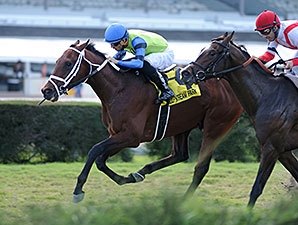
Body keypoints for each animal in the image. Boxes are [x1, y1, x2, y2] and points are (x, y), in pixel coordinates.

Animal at [41, 39, 242, 203]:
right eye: (57, 62)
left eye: (68, 63)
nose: (46, 91)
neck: (119, 89)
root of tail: (230, 83)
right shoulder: (118, 135)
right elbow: (100, 160)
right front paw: (127, 178)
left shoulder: (132, 136)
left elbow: (94, 150)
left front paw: (78, 190)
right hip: (181, 125)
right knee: (180, 154)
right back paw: (141, 172)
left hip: (215, 126)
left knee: (201, 167)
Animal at [180, 32, 298, 207]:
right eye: (202, 49)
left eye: (212, 52)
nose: (185, 73)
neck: (269, 96)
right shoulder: (282, 150)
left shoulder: (271, 148)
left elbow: (256, 189)